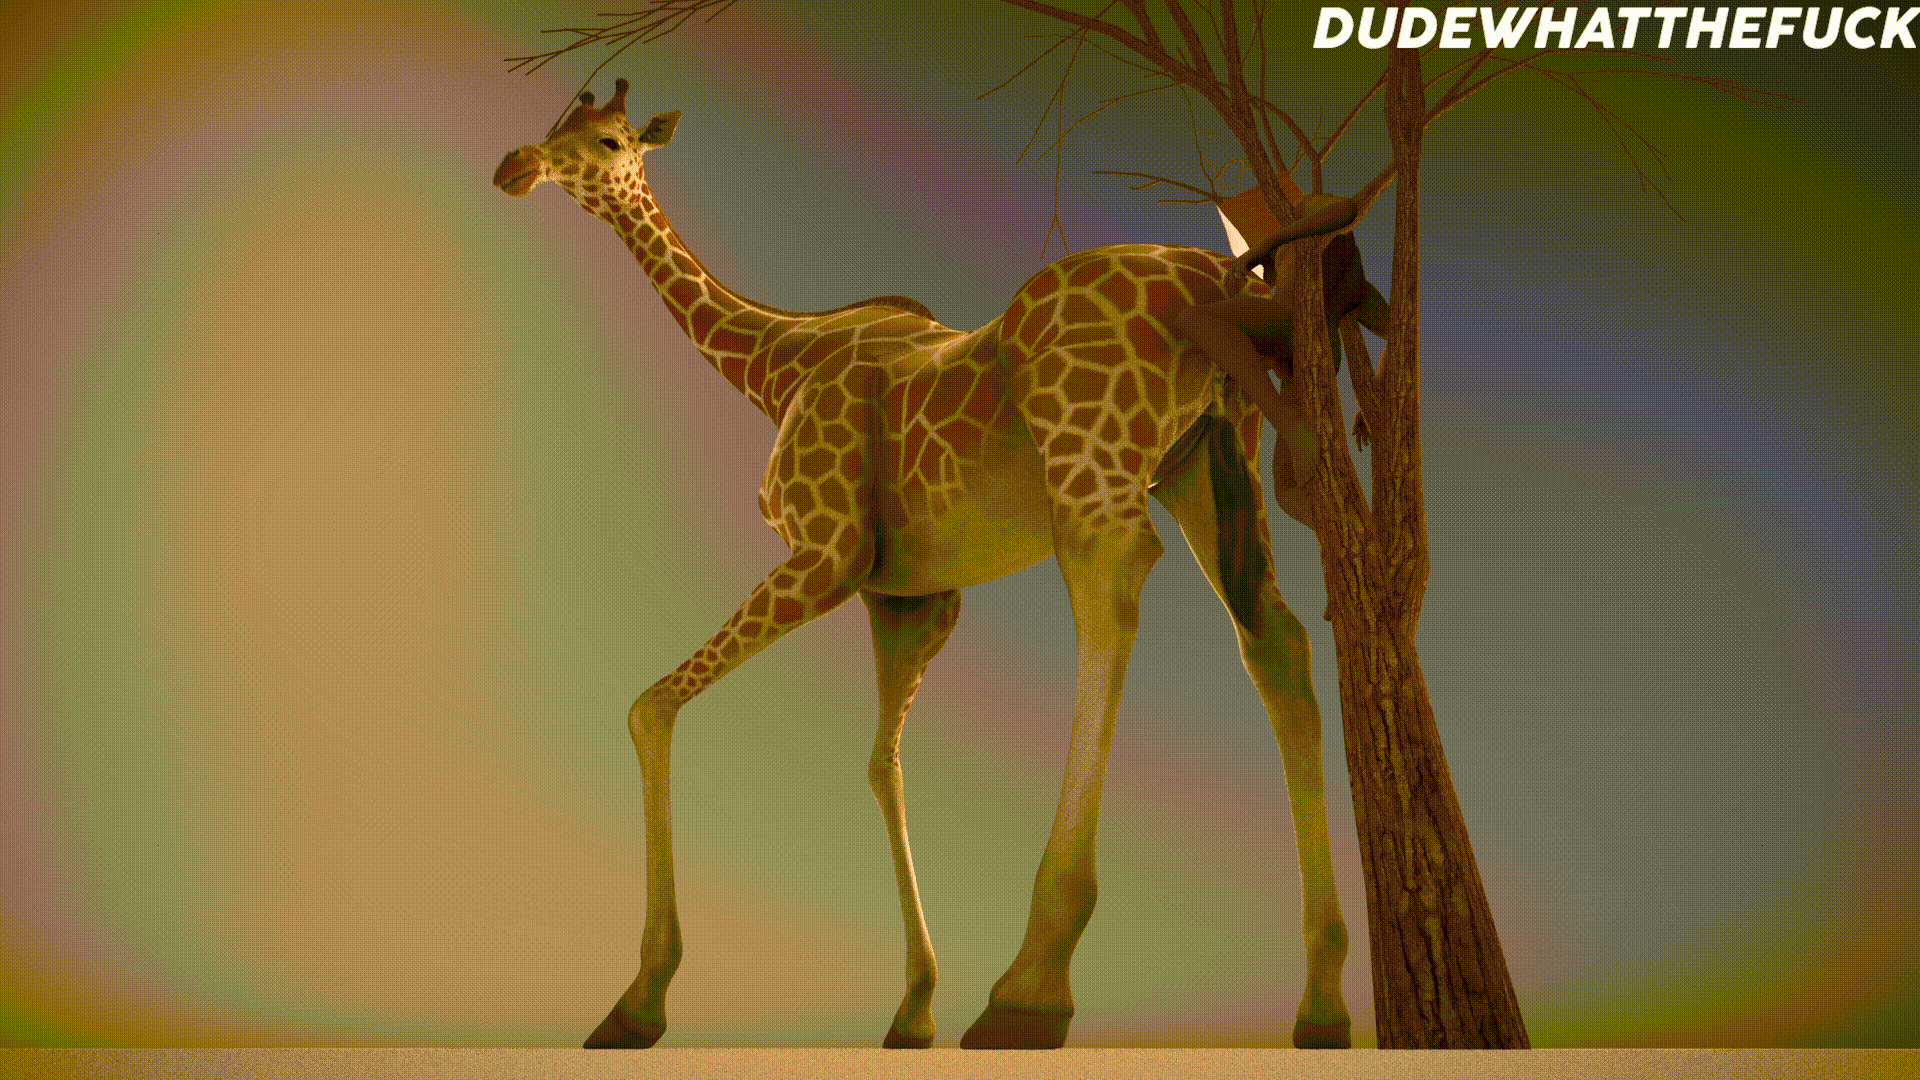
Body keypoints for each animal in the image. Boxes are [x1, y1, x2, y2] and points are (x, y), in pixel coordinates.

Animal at [493, 80, 1357, 1051]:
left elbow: (650, 706)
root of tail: (1217, 282)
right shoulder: (912, 593)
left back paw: (1031, 983)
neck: (772, 367)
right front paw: (912, 1008)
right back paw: (1322, 996)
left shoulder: (827, 551)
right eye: (555, 125)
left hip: (1093, 457)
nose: (515, 166)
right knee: (1274, 636)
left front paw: (639, 999)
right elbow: (883, 764)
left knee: (1115, 582)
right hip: (1209, 461)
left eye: (607, 140)